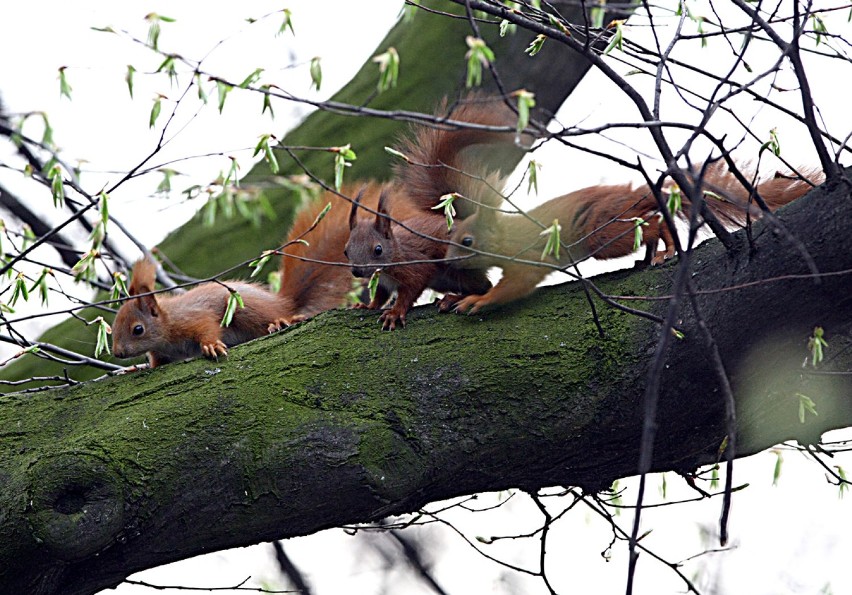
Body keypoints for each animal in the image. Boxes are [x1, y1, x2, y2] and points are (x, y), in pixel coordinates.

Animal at [344, 95, 520, 328]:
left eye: (378, 249)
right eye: (346, 251)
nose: (356, 271)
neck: (394, 256)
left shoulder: (415, 266)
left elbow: (409, 290)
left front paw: (395, 313)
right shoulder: (382, 283)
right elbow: (380, 296)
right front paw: (366, 306)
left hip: (457, 265)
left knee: (484, 287)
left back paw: (453, 299)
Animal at [442, 161, 824, 314]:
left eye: (467, 241)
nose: (445, 261)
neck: (502, 237)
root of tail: (633, 193)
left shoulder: (527, 258)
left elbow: (517, 283)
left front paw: (477, 301)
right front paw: (452, 297)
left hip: (605, 235)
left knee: (654, 224)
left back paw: (664, 250)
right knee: (651, 223)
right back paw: (649, 257)